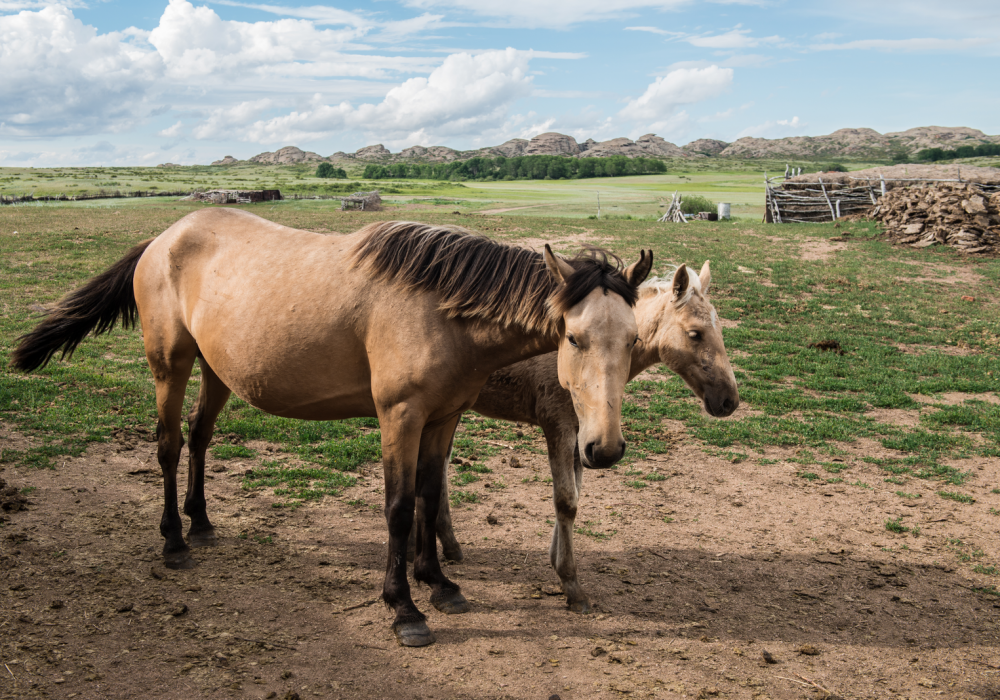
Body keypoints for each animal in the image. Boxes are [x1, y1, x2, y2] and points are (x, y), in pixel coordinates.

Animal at [15, 211, 656, 648]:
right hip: (169, 364)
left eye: (633, 340)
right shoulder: (400, 416)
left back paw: (201, 523)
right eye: (572, 337)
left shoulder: (442, 417)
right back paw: (174, 540)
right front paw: (404, 609)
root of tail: (163, 238)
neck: (441, 309)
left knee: (199, 437)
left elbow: (428, 497)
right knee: (170, 445)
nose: (602, 449)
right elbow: (399, 508)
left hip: (217, 371)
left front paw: (439, 583)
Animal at [422, 262, 736, 612]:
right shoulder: (556, 424)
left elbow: (575, 494)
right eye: (695, 333)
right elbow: (566, 501)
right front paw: (570, 583)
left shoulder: (582, 435)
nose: (729, 400)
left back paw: (448, 546)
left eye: (720, 329)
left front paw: (556, 560)